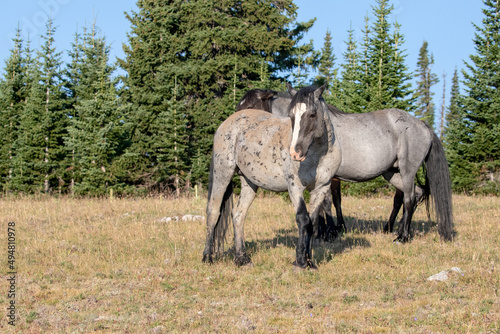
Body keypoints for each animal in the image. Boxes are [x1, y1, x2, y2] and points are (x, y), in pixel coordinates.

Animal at [203, 84, 340, 268]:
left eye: (312, 114)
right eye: (291, 116)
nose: (295, 153)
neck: (317, 154)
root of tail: (227, 123)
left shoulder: (321, 188)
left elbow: (313, 222)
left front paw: (310, 261)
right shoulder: (295, 187)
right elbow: (302, 219)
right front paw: (300, 261)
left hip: (249, 182)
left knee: (238, 215)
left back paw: (242, 258)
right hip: (222, 173)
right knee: (213, 211)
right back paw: (207, 257)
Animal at [236, 86, 456, 243]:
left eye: (250, 107)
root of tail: (423, 125)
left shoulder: (328, 176)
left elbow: (328, 202)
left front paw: (327, 233)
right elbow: (330, 202)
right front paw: (327, 230)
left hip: (407, 170)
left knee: (408, 198)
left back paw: (402, 237)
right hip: (391, 173)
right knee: (415, 194)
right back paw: (394, 228)